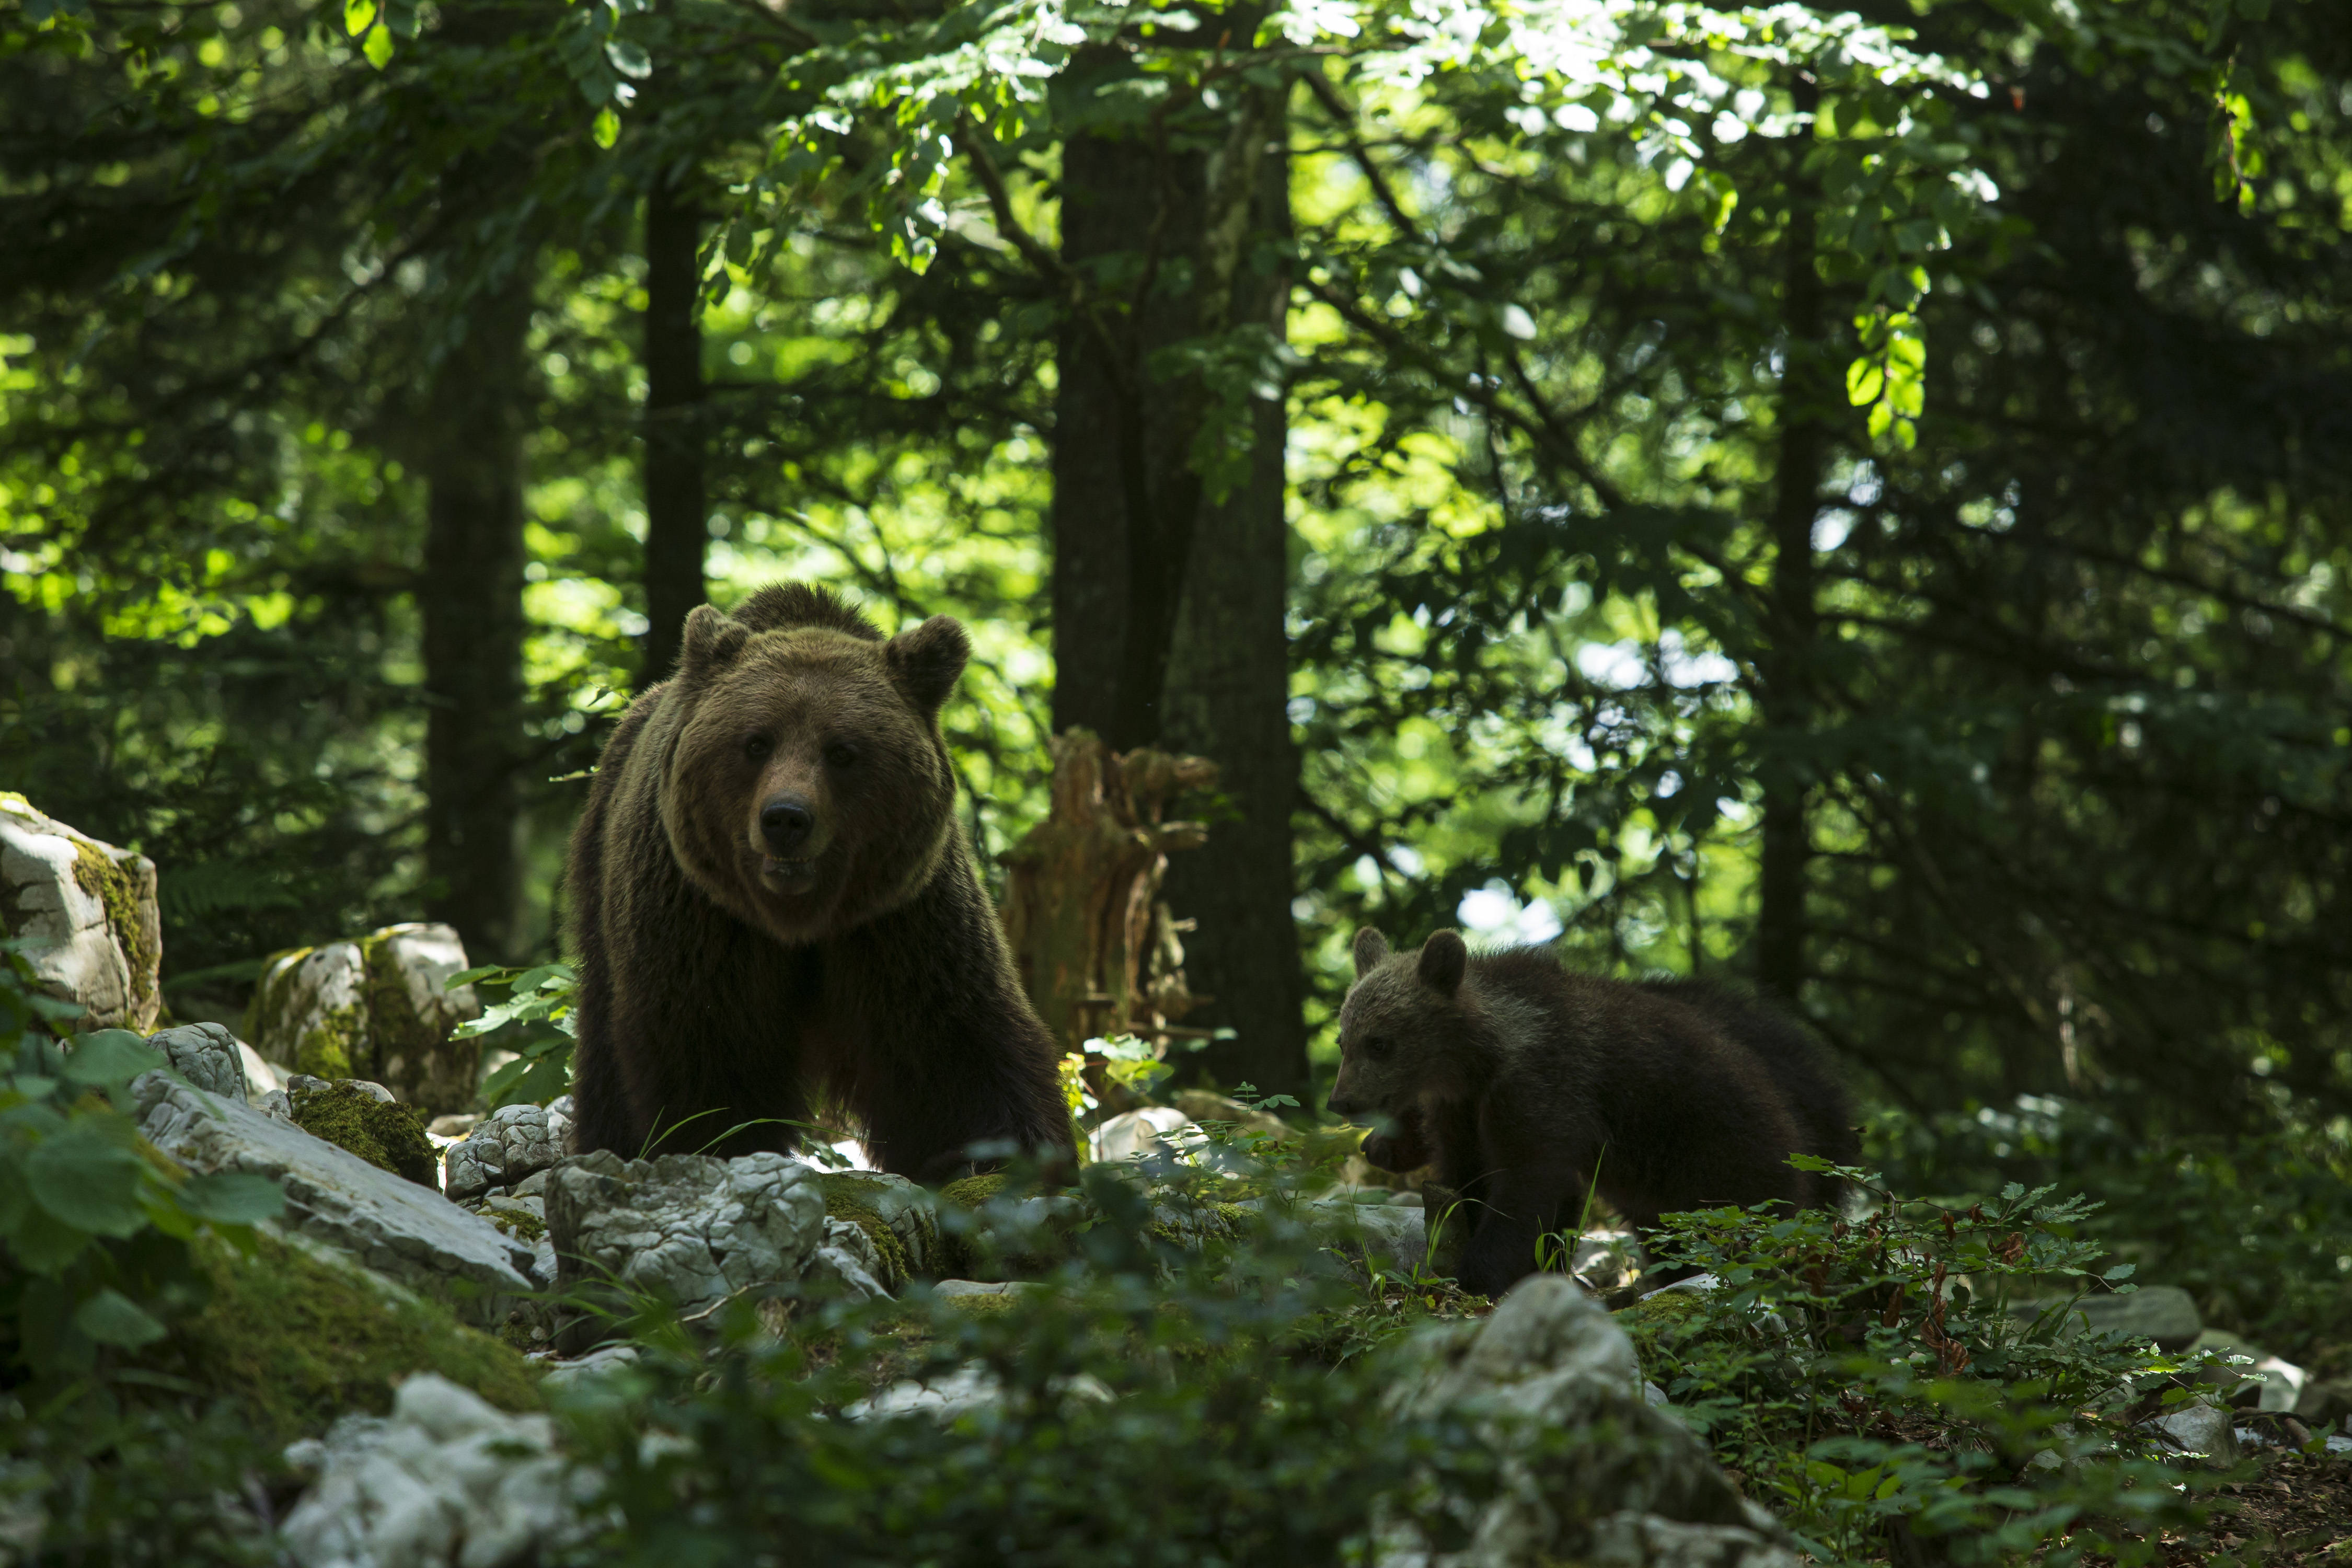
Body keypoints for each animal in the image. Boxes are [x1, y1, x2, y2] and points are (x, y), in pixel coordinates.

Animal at [569, 587, 1077, 1175]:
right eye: (756, 742)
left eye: (842, 751)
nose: (786, 819)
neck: (800, 921)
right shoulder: (704, 916)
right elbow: (708, 1046)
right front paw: (717, 1142)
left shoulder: (901, 920)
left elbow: (952, 1045)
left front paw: (1006, 1155)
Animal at [1336, 931, 1844, 1297]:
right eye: (1344, 1040)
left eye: (1379, 1042)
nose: (1341, 1101)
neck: (1478, 1060)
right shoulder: (1460, 1111)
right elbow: (1470, 1180)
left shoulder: (1545, 1086)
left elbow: (1528, 1185)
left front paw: (1480, 1274)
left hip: (1722, 1151)